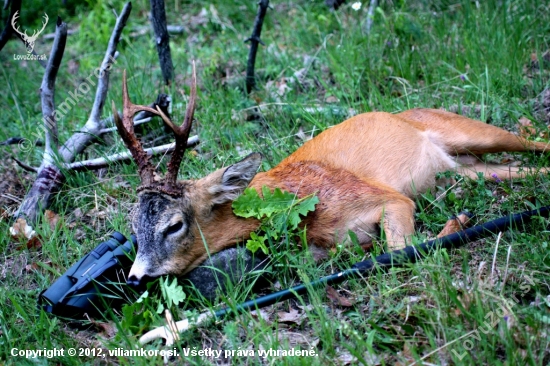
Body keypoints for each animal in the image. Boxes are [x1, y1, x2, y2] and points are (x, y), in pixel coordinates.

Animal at [113, 69, 550, 286]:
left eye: (174, 225)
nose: (135, 277)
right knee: (514, 168)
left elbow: (402, 249)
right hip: (470, 170)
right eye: (133, 227)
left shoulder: (389, 198)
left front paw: (459, 221)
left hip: (469, 130)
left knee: (536, 142)